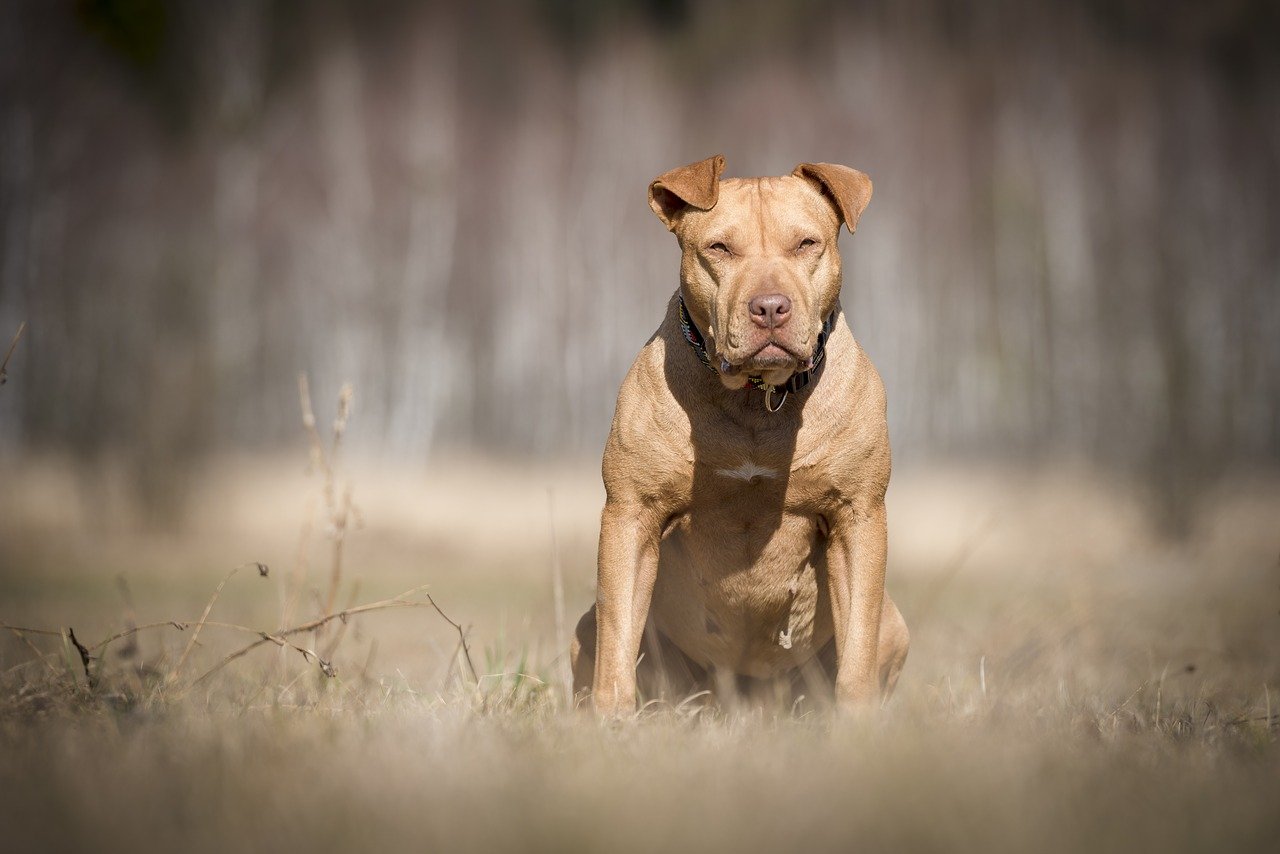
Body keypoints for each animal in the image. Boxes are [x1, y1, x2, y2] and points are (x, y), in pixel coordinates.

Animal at [570, 153, 911, 717]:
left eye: (806, 243)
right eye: (719, 248)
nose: (770, 307)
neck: (758, 397)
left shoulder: (857, 515)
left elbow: (857, 654)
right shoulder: (631, 514)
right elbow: (617, 642)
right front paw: (611, 722)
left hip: (893, 624)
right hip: (590, 629)